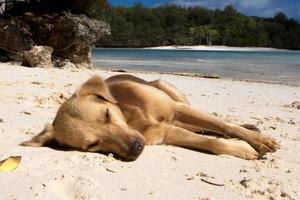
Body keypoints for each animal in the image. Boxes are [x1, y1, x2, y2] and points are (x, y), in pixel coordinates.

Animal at [21, 74, 278, 160]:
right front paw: (241, 149)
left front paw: (258, 140)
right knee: (199, 129)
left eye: (106, 114)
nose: (136, 148)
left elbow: (224, 125)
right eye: (92, 145)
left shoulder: (175, 107)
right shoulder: (165, 133)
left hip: (167, 88)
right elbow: (211, 142)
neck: (130, 117)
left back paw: (251, 128)